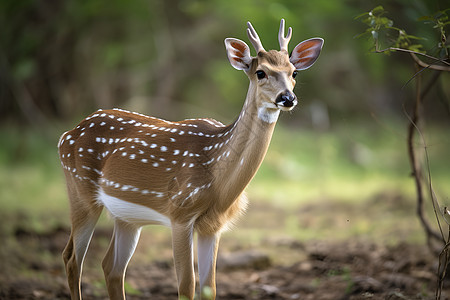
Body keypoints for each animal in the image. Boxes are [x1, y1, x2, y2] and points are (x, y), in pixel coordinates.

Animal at [58, 19, 322, 300]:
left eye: (294, 72)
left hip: (126, 217)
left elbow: (209, 286)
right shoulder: (180, 212)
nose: (287, 98)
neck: (218, 181)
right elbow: (187, 285)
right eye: (260, 72)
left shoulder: (213, 226)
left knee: (112, 267)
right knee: (72, 258)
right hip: (80, 191)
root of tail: (67, 133)